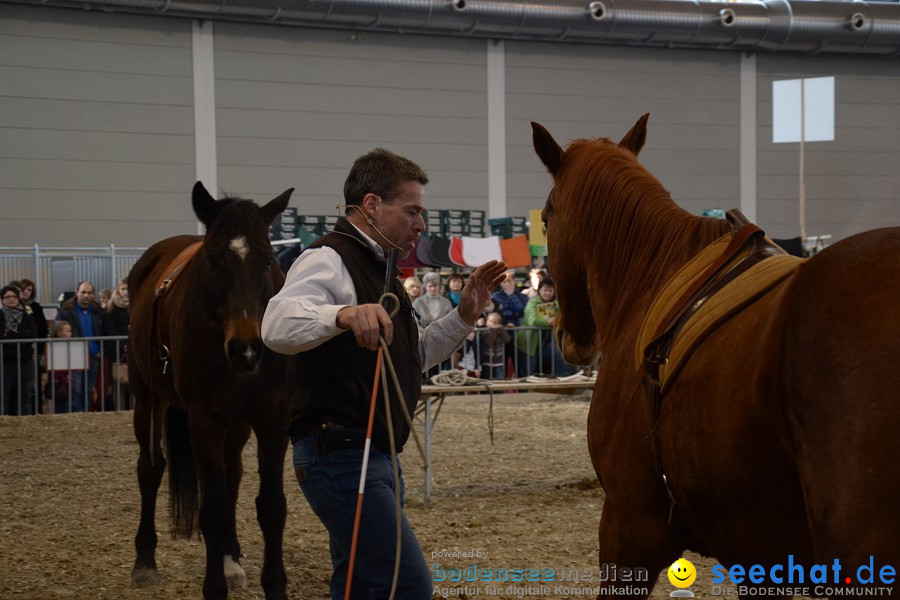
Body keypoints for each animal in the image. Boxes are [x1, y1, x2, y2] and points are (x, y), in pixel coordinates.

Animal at [127, 183, 292, 600]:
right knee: (150, 468)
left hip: (237, 424)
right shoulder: (204, 420)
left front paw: (273, 584)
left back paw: (231, 558)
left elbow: (271, 506)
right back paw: (144, 561)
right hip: (147, 397)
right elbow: (213, 510)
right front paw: (214, 586)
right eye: (213, 260)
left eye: (268, 260)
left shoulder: (272, 419)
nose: (247, 348)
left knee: (231, 475)